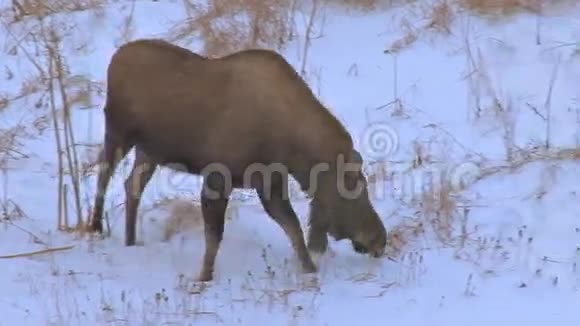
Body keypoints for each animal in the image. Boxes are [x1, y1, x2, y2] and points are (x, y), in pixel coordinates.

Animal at [88, 39, 388, 282]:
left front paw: (309, 271)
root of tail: (116, 57)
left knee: (132, 186)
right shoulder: (218, 178)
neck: (292, 150)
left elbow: (293, 228)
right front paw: (203, 278)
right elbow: (214, 236)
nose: (379, 240)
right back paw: (95, 227)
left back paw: (130, 241)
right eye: (355, 188)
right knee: (104, 173)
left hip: (149, 151)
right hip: (118, 133)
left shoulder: (269, 182)